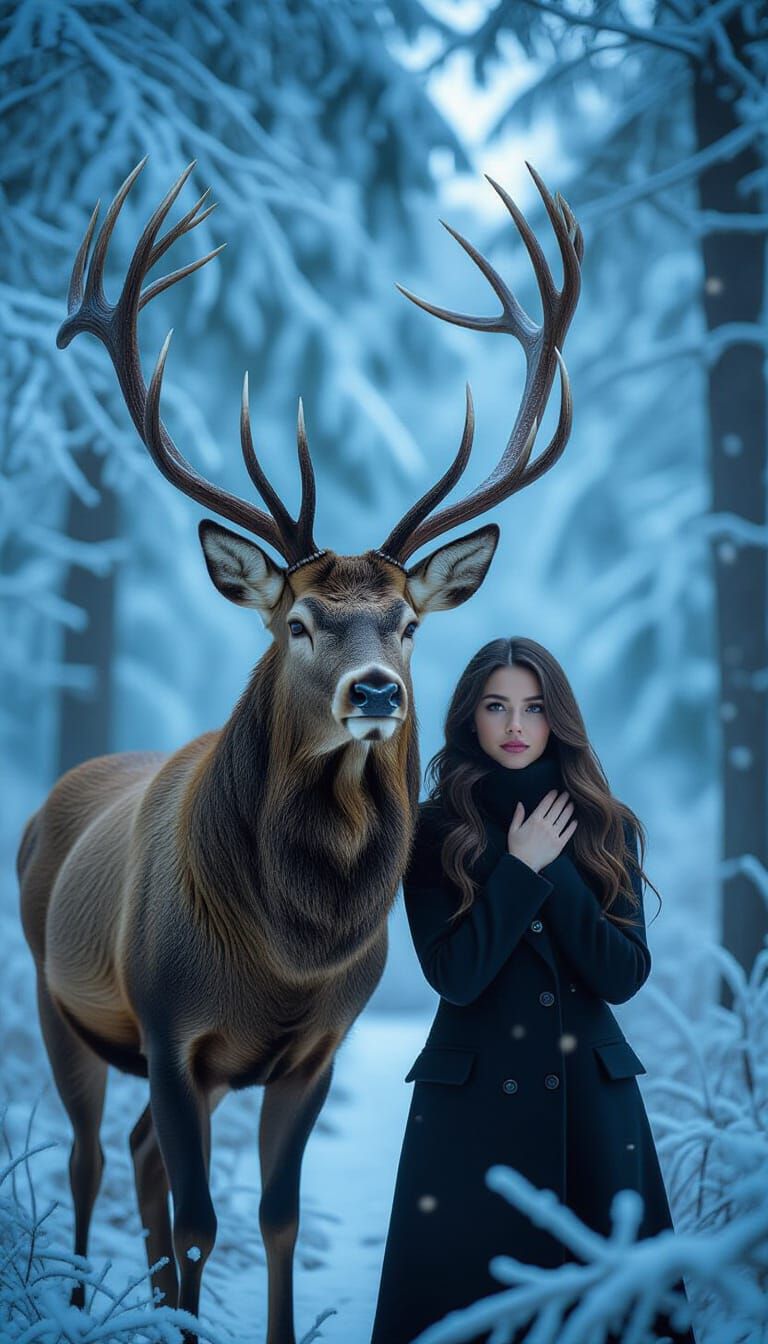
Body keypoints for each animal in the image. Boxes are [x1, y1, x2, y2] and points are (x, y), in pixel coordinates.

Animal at [17, 157, 582, 1344]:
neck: (284, 956)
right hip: (58, 1001)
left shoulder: (317, 1045)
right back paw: (84, 1305)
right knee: (90, 1159)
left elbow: (274, 1217)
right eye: (298, 623)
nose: (376, 690)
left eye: (407, 622)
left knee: (134, 1158)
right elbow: (200, 1222)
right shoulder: (170, 1023)